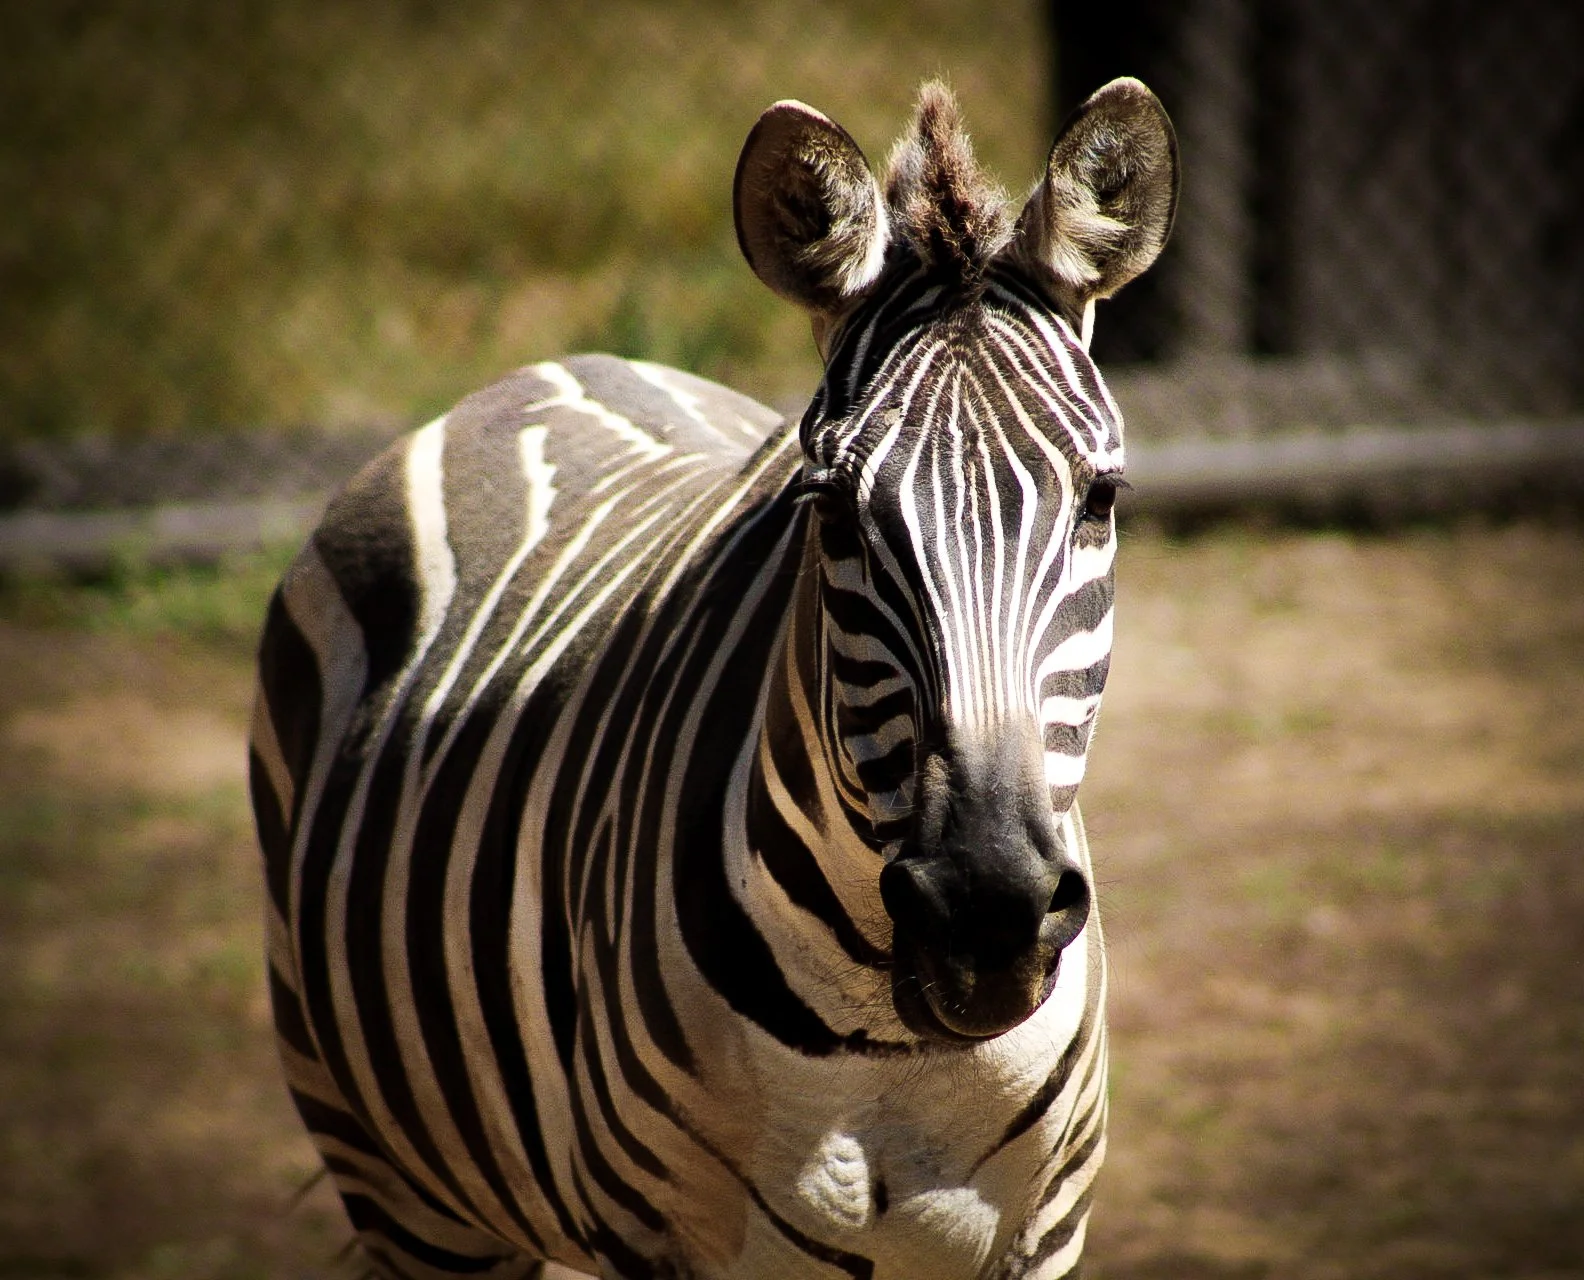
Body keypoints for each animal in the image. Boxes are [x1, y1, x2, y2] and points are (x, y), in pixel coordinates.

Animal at [250, 77, 1177, 1280]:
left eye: (1101, 499)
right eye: (831, 510)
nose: (989, 912)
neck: (891, 1045)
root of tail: (550, 368)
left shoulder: (1044, 1237)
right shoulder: (667, 1243)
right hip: (399, 1180)